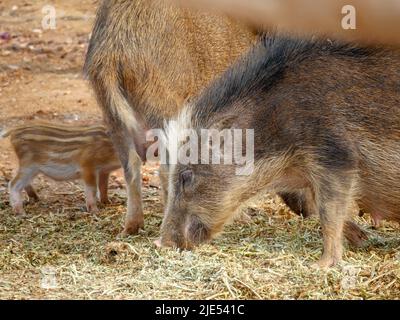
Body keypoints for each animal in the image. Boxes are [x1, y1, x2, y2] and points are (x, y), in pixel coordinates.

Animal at [85, 0, 256, 235]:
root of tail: (113, 50)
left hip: (112, 114)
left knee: (131, 168)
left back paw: (131, 228)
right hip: (164, 106)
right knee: (167, 169)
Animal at [159, 34, 400, 268]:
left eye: (186, 176)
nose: (160, 243)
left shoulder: (336, 155)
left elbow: (329, 212)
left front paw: (319, 266)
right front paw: (362, 239)